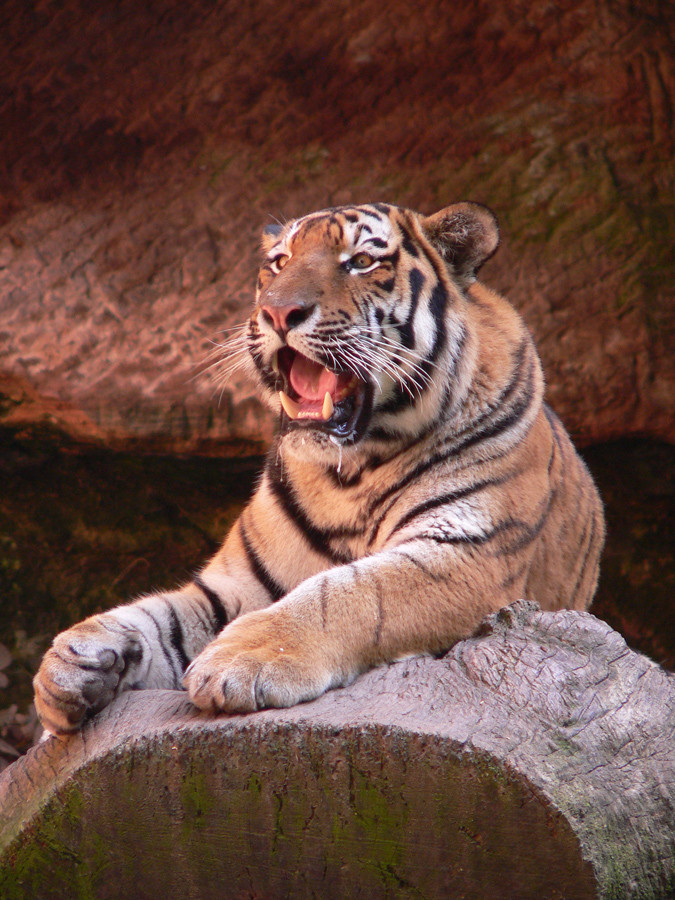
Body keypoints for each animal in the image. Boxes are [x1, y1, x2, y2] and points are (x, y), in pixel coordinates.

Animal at [33, 200, 608, 736]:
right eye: (279, 262)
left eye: (361, 262)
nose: (278, 313)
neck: (348, 473)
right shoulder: (238, 584)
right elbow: (163, 614)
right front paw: (69, 666)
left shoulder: (468, 554)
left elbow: (349, 593)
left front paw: (239, 661)